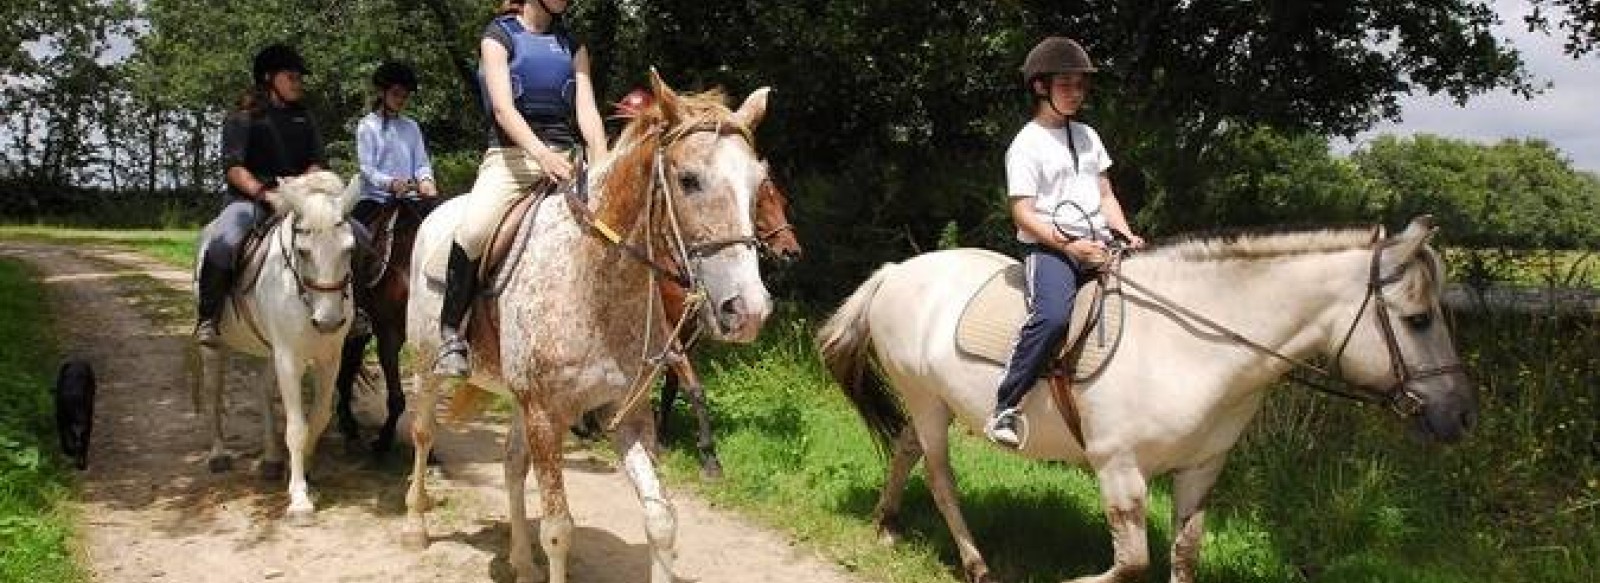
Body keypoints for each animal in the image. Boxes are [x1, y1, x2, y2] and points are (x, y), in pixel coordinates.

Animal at [193, 169, 360, 525]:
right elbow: (296, 427)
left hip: (269, 351)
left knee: (263, 392)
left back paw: (270, 459)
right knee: (215, 393)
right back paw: (218, 455)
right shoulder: (289, 359)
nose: (328, 322)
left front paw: (305, 473)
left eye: (350, 250)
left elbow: (319, 418)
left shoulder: (329, 359)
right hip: (216, 348)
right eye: (303, 250)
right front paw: (299, 499)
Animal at [403, 71, 771, 583]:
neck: (595, 286)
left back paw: (521, 562)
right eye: (689, 180)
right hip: (427, 368)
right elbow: (559, 530)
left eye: (759, 183)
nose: (749, 310)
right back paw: (416, 527)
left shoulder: (627, 413)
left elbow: (661, 520)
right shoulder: (545, 415)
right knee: (423, 433)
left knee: (511, 464)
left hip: (517, 399)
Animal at [819, 216, 1478, 579]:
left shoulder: (1201, 469)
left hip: (932, 402)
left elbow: (1183, 556)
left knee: (905, 449)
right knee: (940, 477)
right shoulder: (1120, 470)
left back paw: (885, 526)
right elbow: (1130, 564)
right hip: (928, 402)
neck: (1191, 343)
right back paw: (976, 564)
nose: (1460, 415)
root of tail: (896, 271)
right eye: (1418, 319)